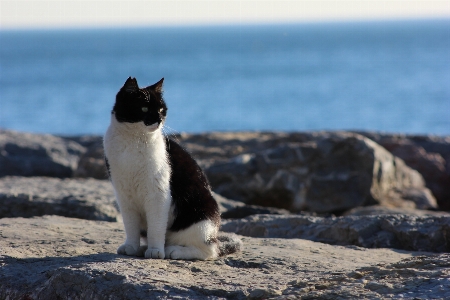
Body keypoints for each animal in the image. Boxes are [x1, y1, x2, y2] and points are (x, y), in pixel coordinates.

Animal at [104, 77, 243, 260]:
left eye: (161, 109)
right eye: (144, 108)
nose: (158, 119)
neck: (133, 142)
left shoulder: (158, 193)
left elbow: (156, 227)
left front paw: (155, 251)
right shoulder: (124, 195)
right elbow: (130, 225)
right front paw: (131, 247)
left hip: (201, 217)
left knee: (209, 250)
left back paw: (173, 250)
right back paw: (143, 249)